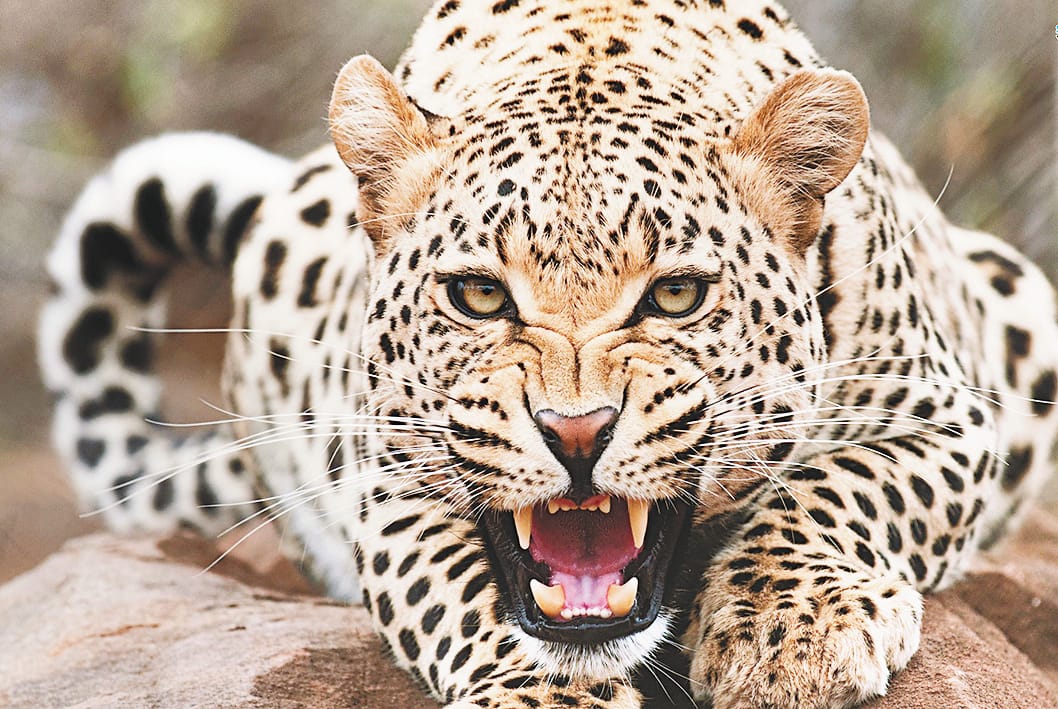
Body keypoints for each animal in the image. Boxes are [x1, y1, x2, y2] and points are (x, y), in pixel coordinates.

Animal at [38, 1, 1058, 707]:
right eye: (480, 295)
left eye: (676, 295)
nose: (576, 432)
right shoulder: (385, 477)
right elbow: (459, 592)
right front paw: (549, 693)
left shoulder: (947, 415)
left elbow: (836, 490)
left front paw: (790, 632)